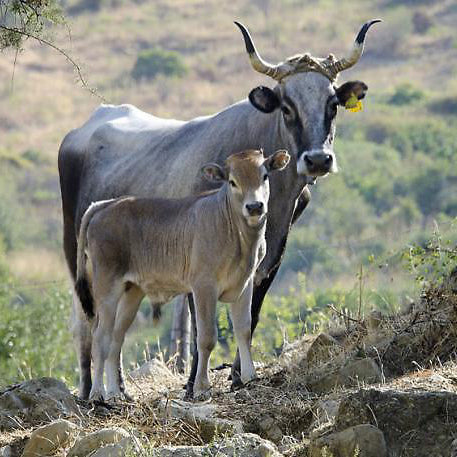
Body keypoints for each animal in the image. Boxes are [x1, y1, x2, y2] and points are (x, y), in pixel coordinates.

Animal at [74, 149, 288, 400]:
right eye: (232, 181)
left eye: (264, 176)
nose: (254, 206)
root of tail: (105, 204)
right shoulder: (203, 285)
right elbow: (206, 337)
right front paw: (202, 387)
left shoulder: (244, 284)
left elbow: (244, 329)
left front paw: (249, 376)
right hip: (107, 285)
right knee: (100, 338)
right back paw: (98, 394)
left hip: (131, 291)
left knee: (116, 339)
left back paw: (115, 394)